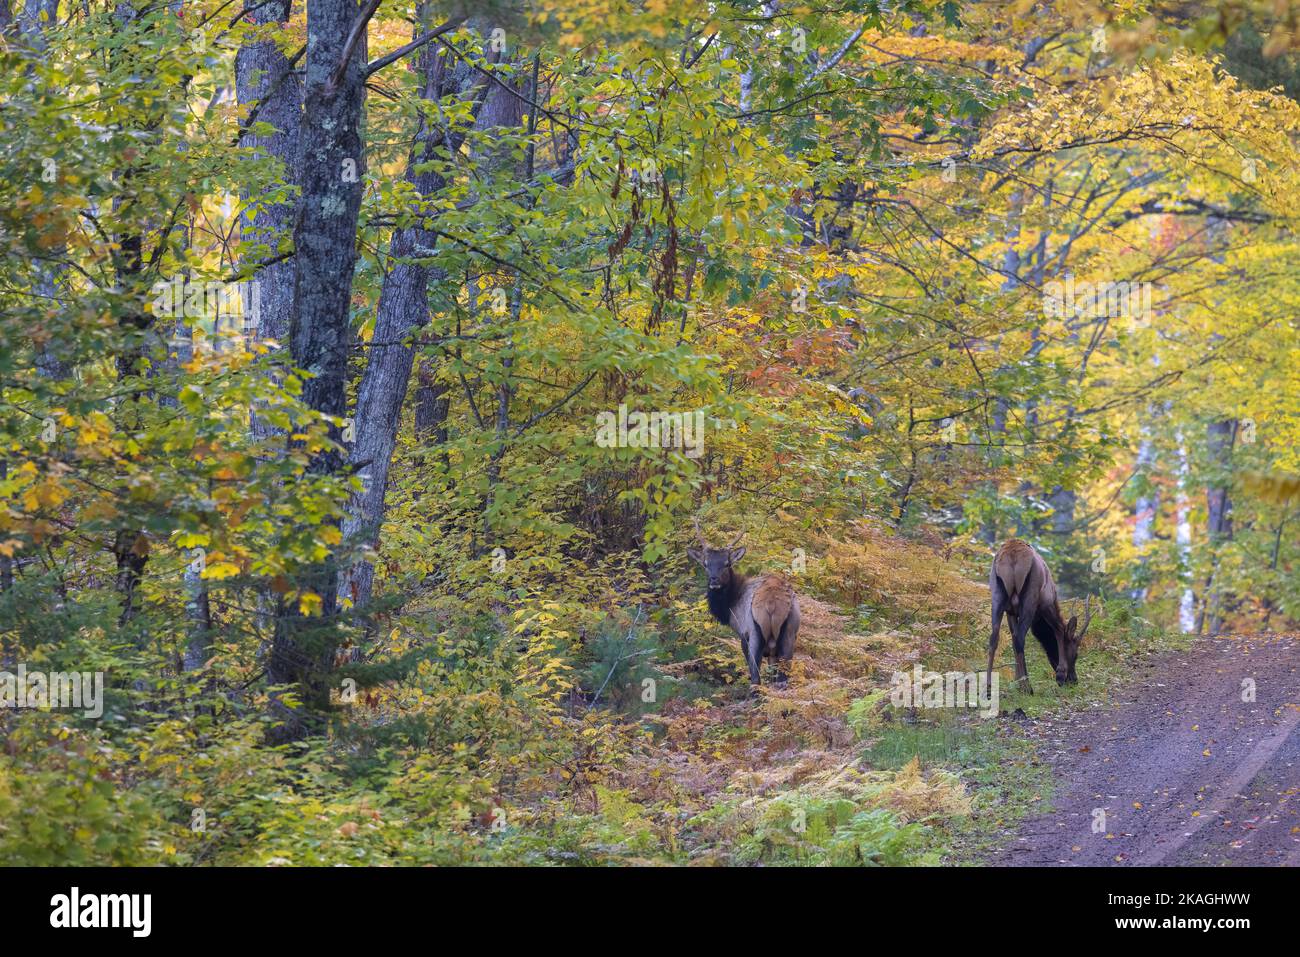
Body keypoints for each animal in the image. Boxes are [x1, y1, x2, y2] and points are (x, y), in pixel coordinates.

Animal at [687, 521, 801, 688]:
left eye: (727, 563)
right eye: (706, 564)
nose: (714, 580)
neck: (730, 606)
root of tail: (772, 603)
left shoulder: (742, 634)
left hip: (754, 633)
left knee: (756, 680)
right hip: (789, 631)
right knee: (781, 679)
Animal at [986, 539, 1092, 695]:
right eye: (1076, 654)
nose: (1074, 680)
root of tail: (1012, 557)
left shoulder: (1011, 612)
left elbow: (1011, 637)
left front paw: (1016, 681)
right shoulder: (1046, 604)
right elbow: (1059, 630)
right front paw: (1060, 675)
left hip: (997, 595)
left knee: (994, 637)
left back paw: (988, 688)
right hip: (1030, 597)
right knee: (1019, 638)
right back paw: (1027, 687)